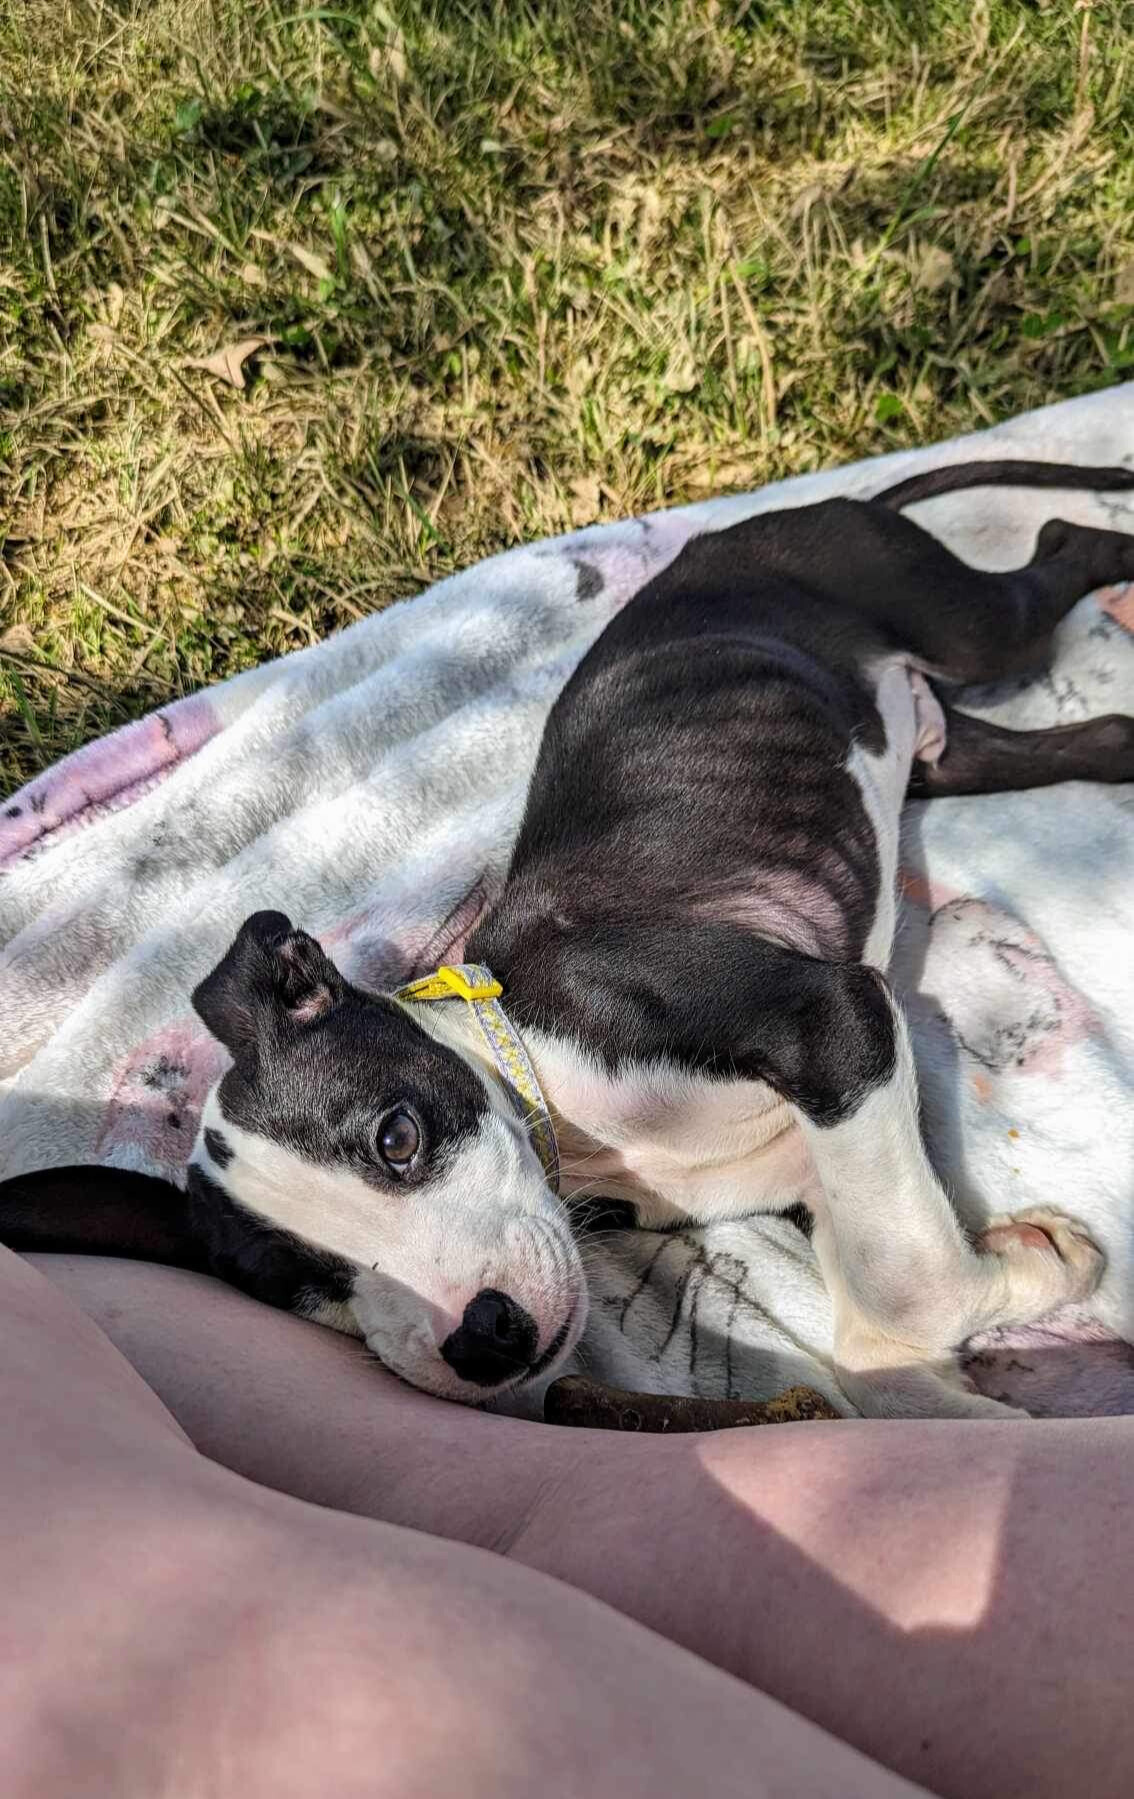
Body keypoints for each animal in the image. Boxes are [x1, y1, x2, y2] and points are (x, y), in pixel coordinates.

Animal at [6, 464, 1134, 1417]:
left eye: (396, 1139)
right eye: (294, 1285)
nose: (483, 1338)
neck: (559, 1095)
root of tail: (767, 519)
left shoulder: (829, 1017)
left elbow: (902, 1286)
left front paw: (1049, 1264)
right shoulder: (822, 1152)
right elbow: (875, 1340)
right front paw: (1021, 1279)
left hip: (961, 623)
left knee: (1056, 547)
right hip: (943, 743)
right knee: (1089, 731)